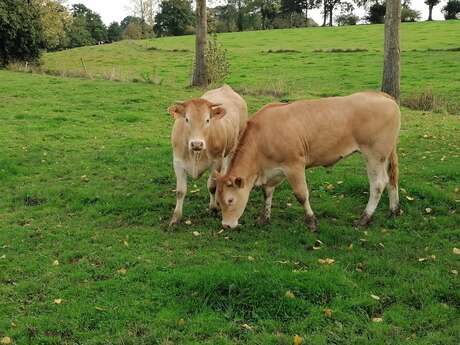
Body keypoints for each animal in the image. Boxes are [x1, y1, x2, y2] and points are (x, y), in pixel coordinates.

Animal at [168, 84, 248, 226]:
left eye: (207, 120)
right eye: (187, 119)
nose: (197, 144)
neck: (195, 154)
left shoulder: (216, 162)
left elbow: (212, 186)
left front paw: (213, 208)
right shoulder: (177, 163)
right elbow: (180, 191)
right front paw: (176, 217)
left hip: (234, 145)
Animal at [215, 91, 398, 231]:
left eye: (230, 200)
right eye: (218, 199)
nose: (226, 225)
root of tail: (381, 95)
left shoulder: (294, 165)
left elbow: (301, 195)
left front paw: (311, 221)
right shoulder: (273, 170)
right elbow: (267, 192)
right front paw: (263, 218)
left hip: (374, 155)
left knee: (378, 184)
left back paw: (364, 218)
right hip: (386, 155)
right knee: (392, 180)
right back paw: (394, 210)